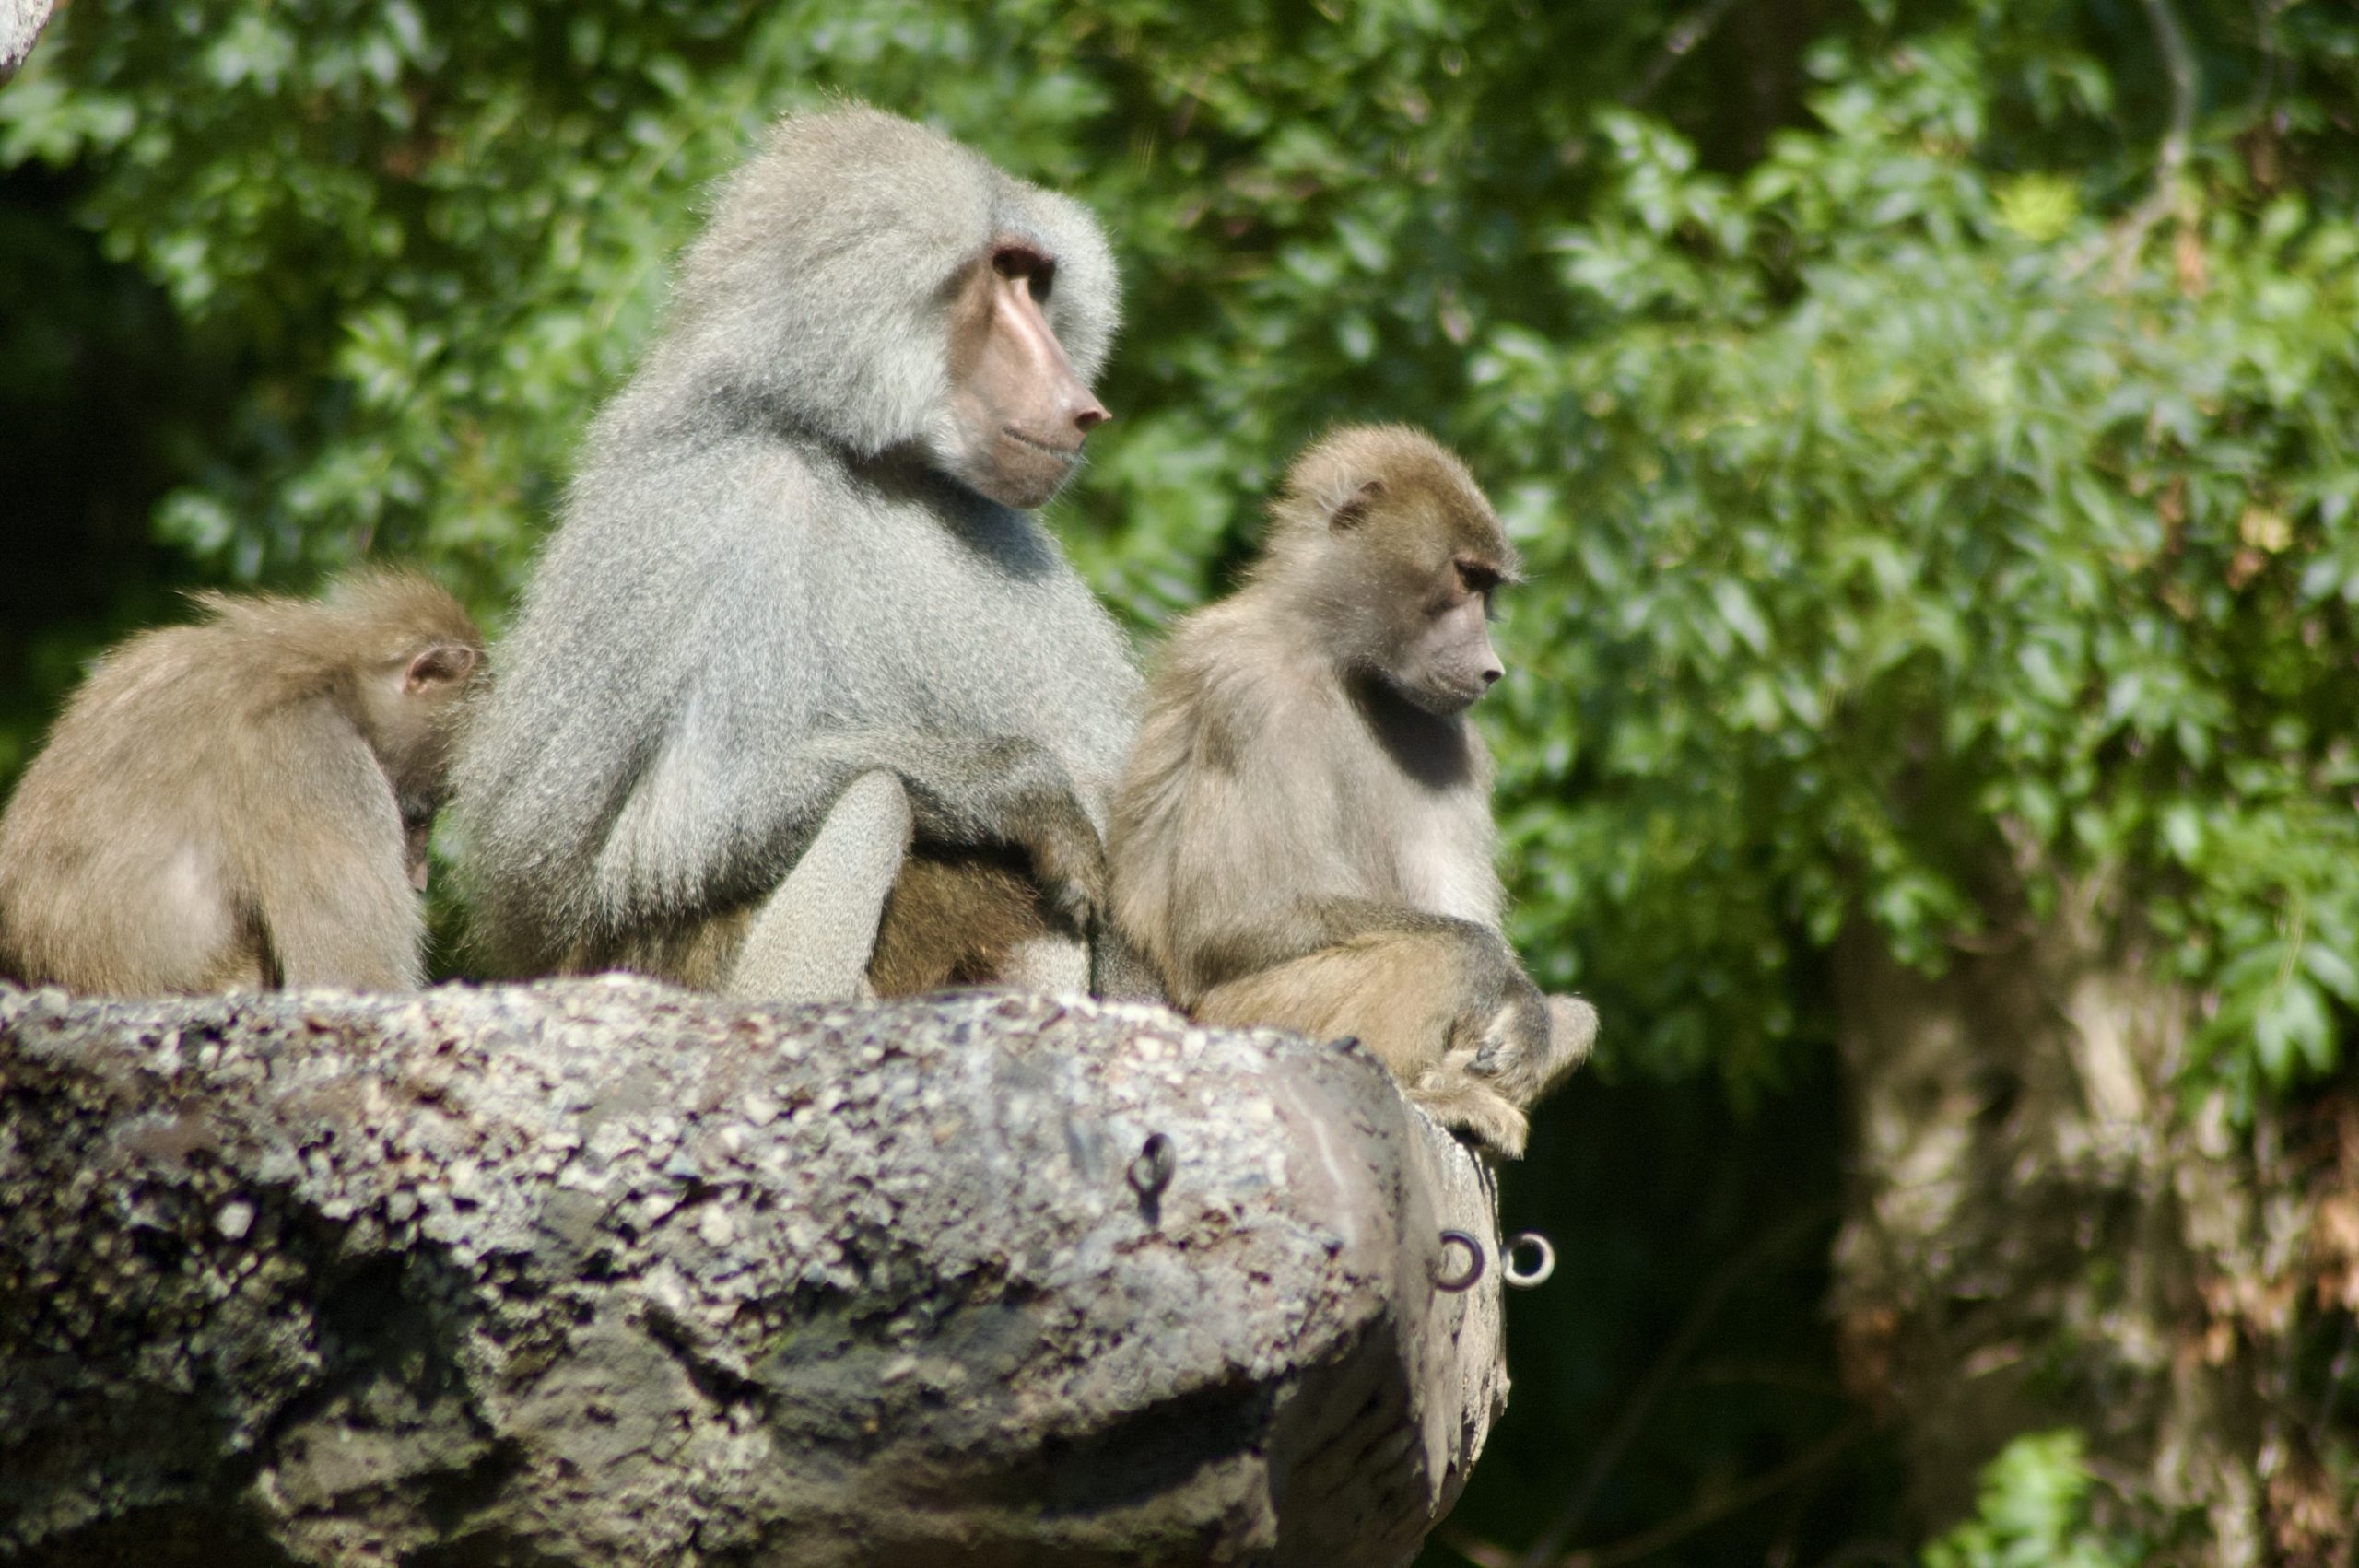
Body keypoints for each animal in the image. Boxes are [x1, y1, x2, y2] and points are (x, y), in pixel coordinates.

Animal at [455, 104, 1156, 1004]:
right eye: (1002, 275)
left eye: (1038, 282)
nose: (1082, 408)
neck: (856, 458)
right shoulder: (702, 513)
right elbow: (627, 852)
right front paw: (1019, 788)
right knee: (875, 794)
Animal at [1106, 425, 1595, 1157]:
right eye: (1464, 576)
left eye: (1487, 588)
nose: (1491, 669)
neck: (1338, 658)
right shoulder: (1253, 688)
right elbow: (1234, 918)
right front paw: (1496, 982)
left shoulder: (1446, 734)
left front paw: (1528, 1014)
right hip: (1244, 1019)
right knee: (1440, 953)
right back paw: (1427, 1090)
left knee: (1575, 1013)